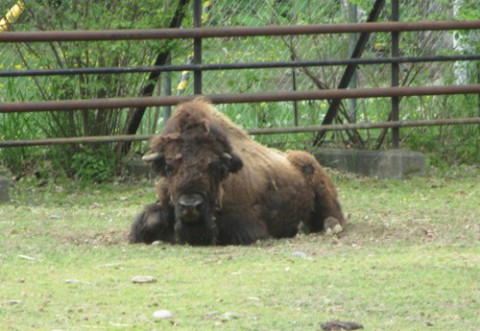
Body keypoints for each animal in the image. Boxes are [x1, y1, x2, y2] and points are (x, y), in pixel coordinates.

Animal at [128, 98, 344, 246]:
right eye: (169, 166)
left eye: (214, 166)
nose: (190, 206)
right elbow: (149, 220)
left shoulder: (247, 225)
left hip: (321, 186)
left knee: (334, 215)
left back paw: (324, 227)